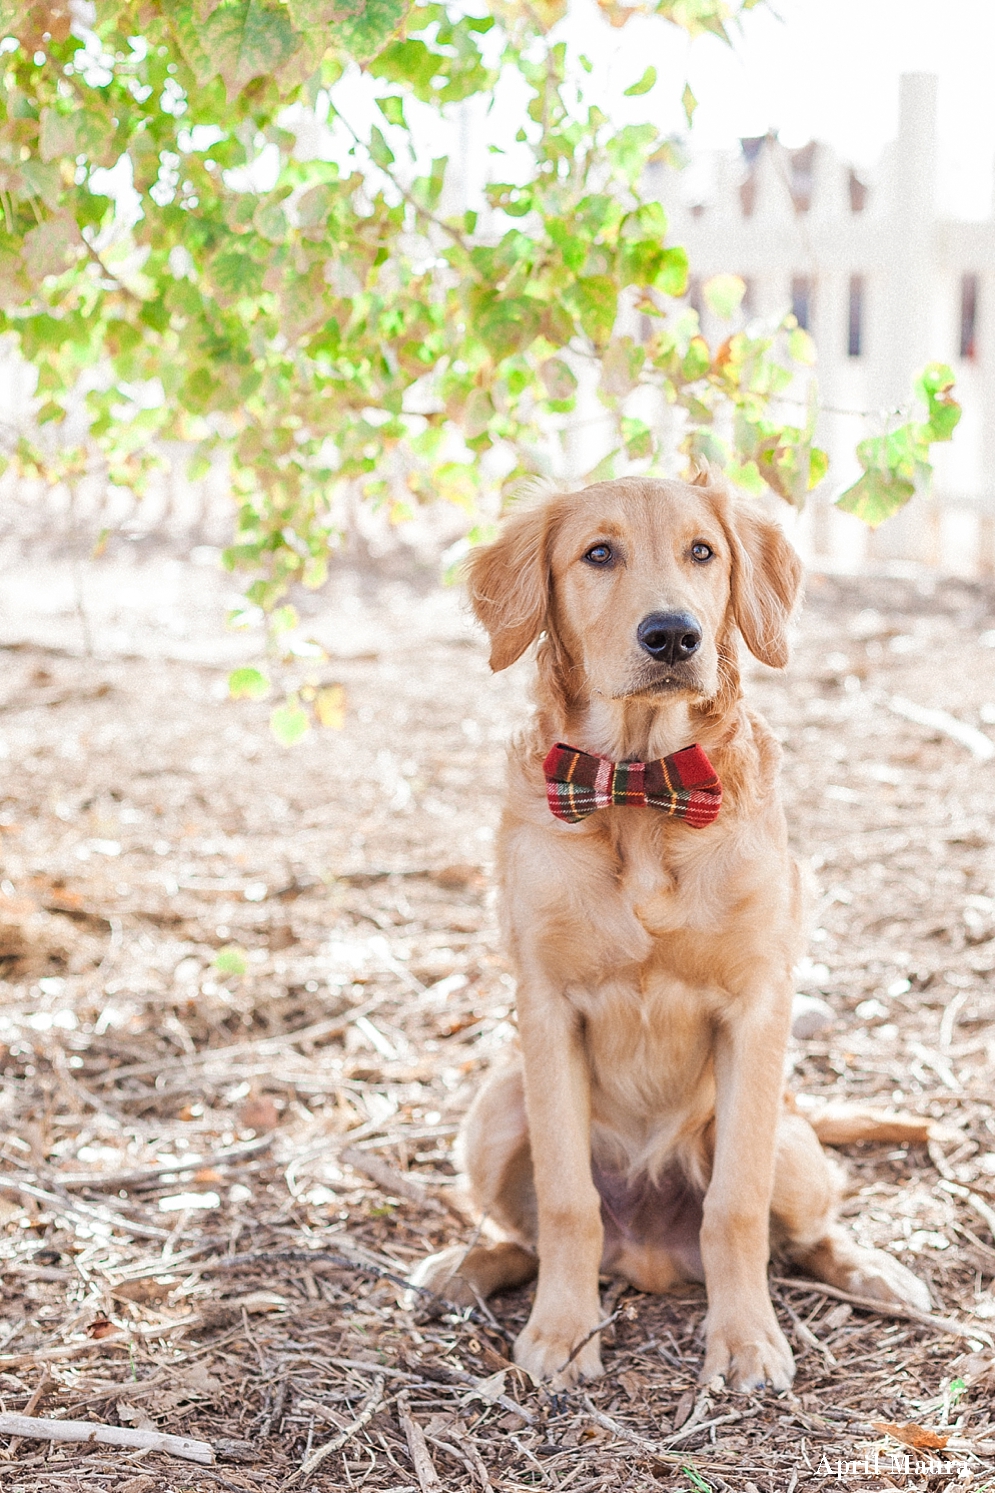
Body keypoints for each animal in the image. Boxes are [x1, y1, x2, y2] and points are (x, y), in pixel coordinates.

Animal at [409, 477, 920, 1397]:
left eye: (702, 552)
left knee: (809, 1227)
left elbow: (736, 1204)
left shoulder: (757, 1007)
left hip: (788, 1136)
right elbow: (567, 1200)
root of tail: (647, 1254)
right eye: (597, 553)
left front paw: (745, 1339)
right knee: (518, 1234)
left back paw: (874, 1270)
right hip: (496, 1106)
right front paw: (562, 1330)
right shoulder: (545, 1005)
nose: (673, 634)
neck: (642, 788)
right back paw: (460, 1267)